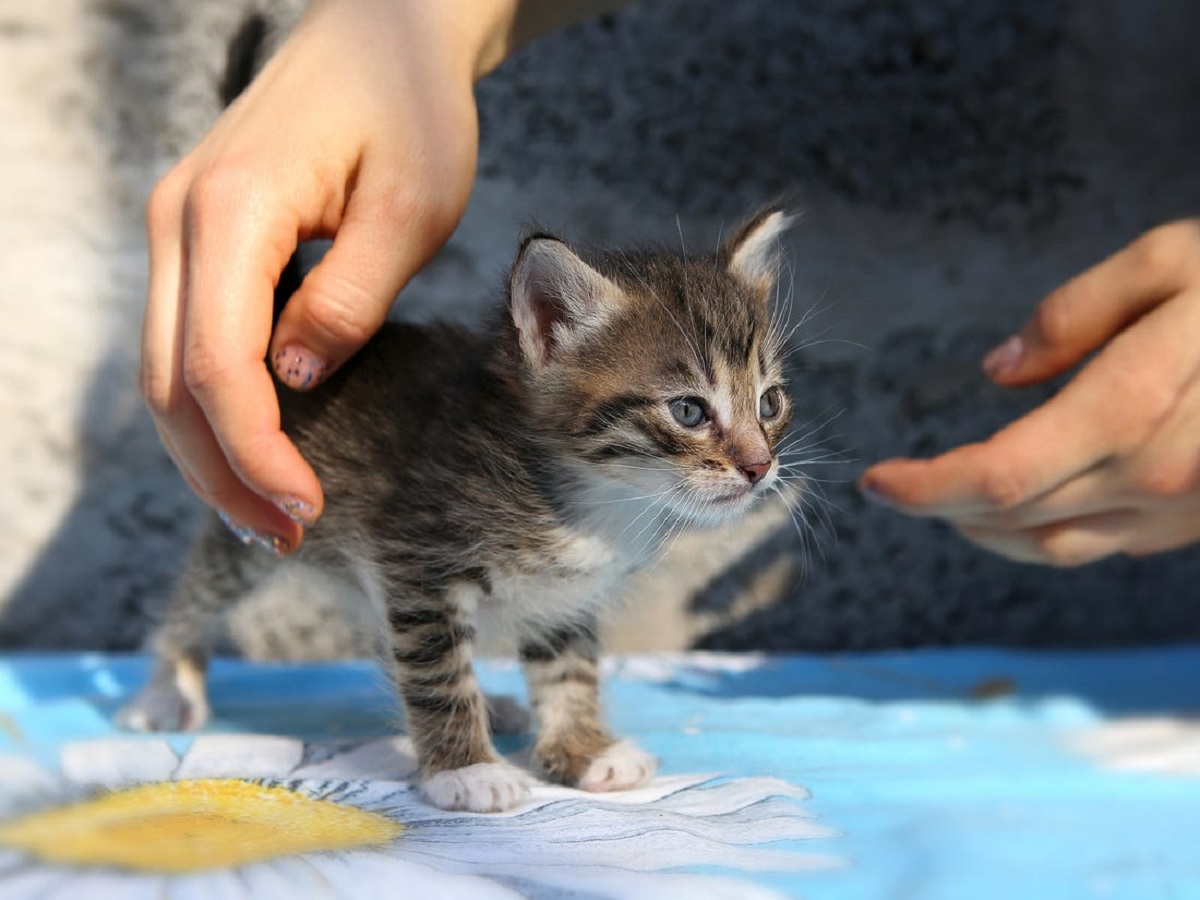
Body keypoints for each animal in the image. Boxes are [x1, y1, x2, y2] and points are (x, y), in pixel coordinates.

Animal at [119, 207, 796, 816]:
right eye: (688, 411)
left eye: (770, 403)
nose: (760, 467)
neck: (587, 499)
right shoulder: (417, 562)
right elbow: (436, 671)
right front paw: (466, 770)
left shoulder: (561, 596)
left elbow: (567, 672)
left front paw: (583, 749)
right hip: (257, 519)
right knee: (197, 595)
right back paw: (165, 690)